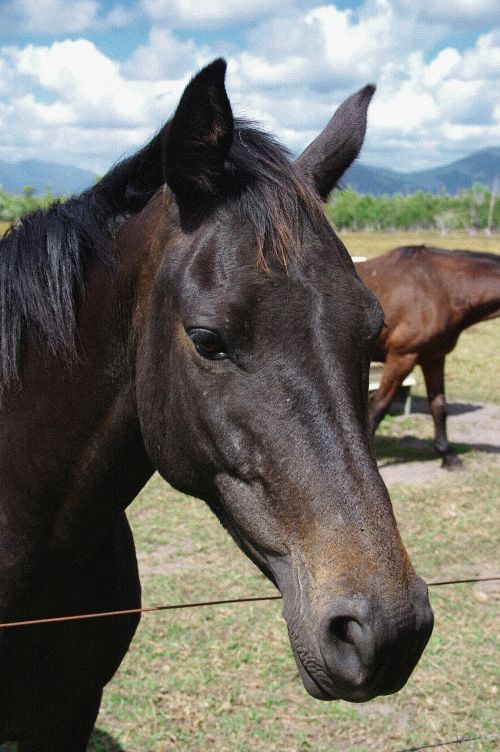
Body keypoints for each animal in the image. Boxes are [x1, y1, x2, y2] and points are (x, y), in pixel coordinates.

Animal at [356, 247, 500, 468]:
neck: (441, 288)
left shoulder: (433, 358)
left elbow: (438, 406)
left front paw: (448, 455)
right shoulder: (402, 357)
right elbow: (378, 406)